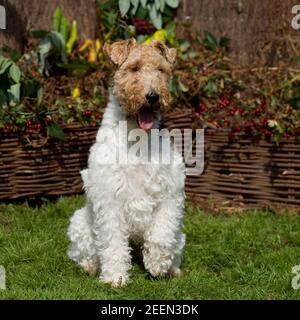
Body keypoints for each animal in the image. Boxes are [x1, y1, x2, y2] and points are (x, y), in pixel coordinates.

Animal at [67, 38, 186, 288]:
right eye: (134, 68)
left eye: (161, 69)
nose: (153, 96)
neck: (137, 138)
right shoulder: (109, 198)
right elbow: (112, 244)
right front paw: (116, 277)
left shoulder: (171, 192)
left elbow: (161, 233)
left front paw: (158, 265)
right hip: (80, 221)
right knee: (84, 251)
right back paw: (90, 267)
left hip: (181, 234)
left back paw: (172, 269)